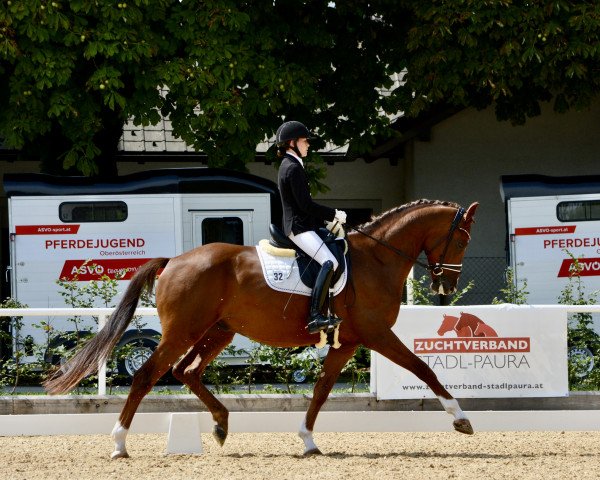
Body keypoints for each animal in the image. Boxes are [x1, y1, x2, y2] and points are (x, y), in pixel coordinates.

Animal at [43, 199, 478, 458]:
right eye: (461, 242)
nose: (447, 286)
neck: (376, 259)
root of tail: (173, 261)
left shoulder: (347, 342)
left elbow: (322, 390)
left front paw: (308, 440)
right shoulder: (376, 335)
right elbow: (423, 368)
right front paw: (460, 418)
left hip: (217, 332)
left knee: (187, 371)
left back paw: (221, 424)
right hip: (183, 332)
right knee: (148, 376)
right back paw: (119, 443)